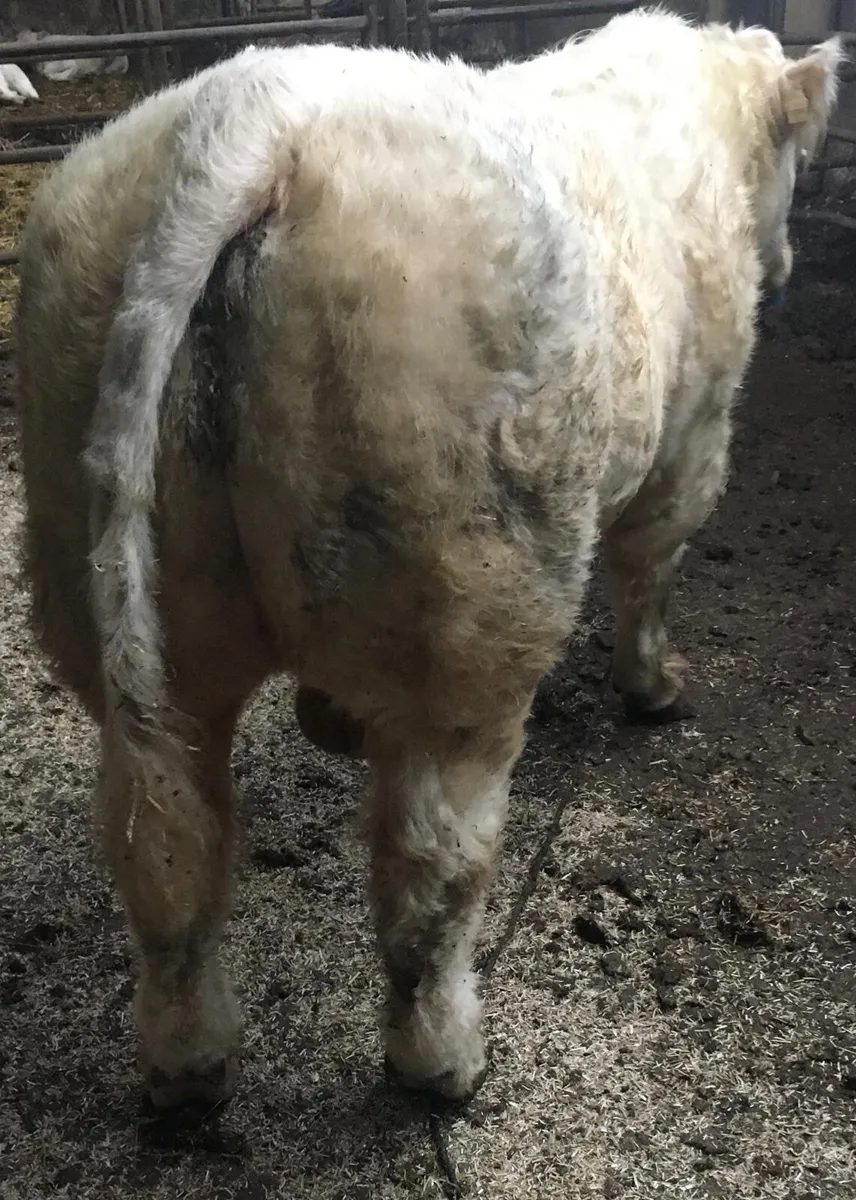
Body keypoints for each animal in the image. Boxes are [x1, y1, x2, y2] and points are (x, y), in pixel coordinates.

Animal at [15, 10, 841, 1112]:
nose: (786, 261)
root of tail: (246, 119)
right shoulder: (696, 431)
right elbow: (650, 566)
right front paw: (657, 688)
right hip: (464, 592)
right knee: (430, 865)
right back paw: (444, 1061)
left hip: (102, 552)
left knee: (168, 838)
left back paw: (190, 1070)